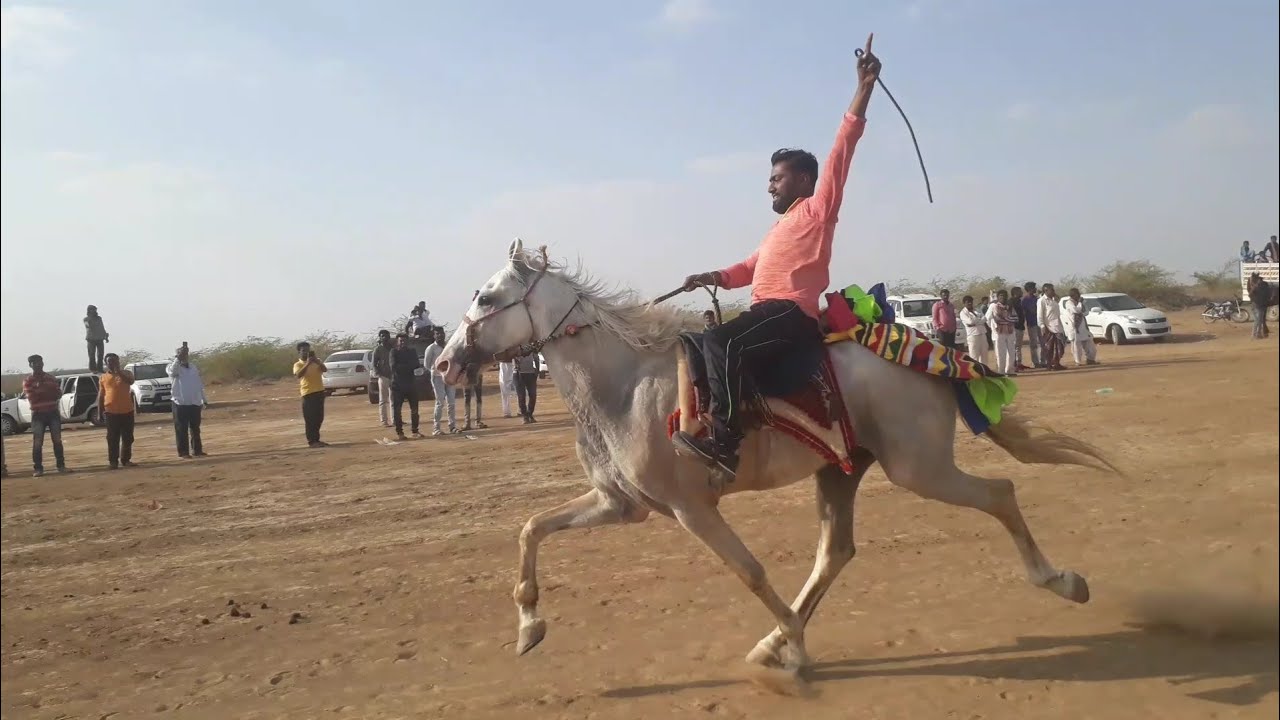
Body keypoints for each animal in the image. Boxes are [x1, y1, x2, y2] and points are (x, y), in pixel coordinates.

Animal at [434, 238, 1118, 675]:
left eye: (487, 298)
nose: (443, 363)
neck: (625, 384)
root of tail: (931, 355)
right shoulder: (621, 504)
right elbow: (531, 528)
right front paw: (528, 625)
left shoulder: (690, 507)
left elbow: (750, 571)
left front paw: (796, 645)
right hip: (844, 470)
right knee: (835, 551)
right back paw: (772, 642)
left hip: (919, 468)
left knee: (1000, 493)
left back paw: (1062, 581)